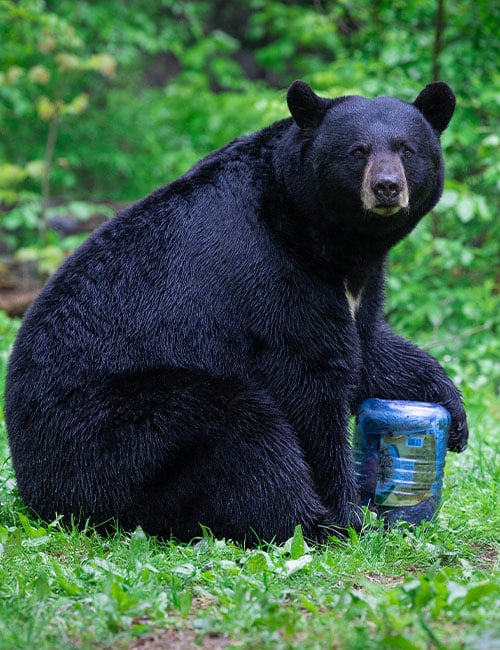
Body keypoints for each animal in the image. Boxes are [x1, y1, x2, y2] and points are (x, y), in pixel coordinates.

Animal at [5, 80, 469, 545]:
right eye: (357, 151)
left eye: (407, 149)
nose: (387, 187)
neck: (323, 236)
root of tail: (35, 486)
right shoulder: (273, 273)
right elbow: (309, 381)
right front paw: (347, 514)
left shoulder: (358, 283)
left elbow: (369, 345)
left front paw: (452, 413)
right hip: (111, 432)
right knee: (241, 429)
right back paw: (308, 521)